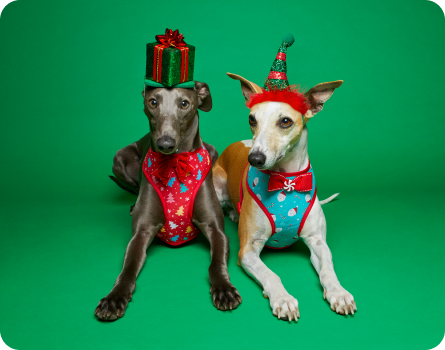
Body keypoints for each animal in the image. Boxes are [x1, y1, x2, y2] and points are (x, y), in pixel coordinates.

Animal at [212, 72, 358, 322]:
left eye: (285, 121)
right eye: (252, 119)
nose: (255, 159)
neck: (286, 182)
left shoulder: (318, 242)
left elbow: (328, 269)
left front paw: (339, 293)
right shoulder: (247, 251)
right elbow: (271, 274)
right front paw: (283, 298)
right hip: (218, 185)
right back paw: (233, 213)